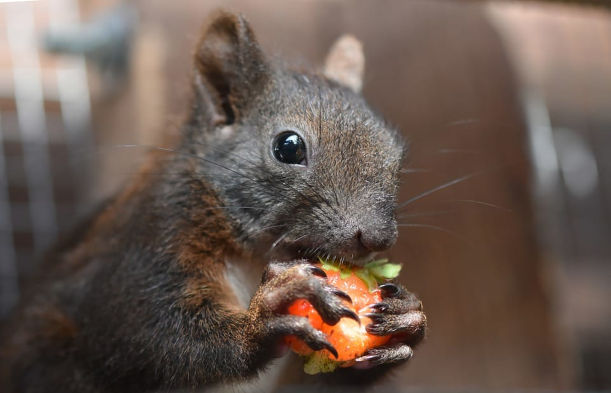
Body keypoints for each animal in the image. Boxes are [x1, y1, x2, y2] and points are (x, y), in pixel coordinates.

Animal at [1, 10, 426, 390]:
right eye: (288, 147)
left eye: (396, 150)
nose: (376, 237)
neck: (258, 254)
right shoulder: (150, 241)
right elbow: (152, 332)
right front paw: (264, 317)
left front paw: (408, 318)